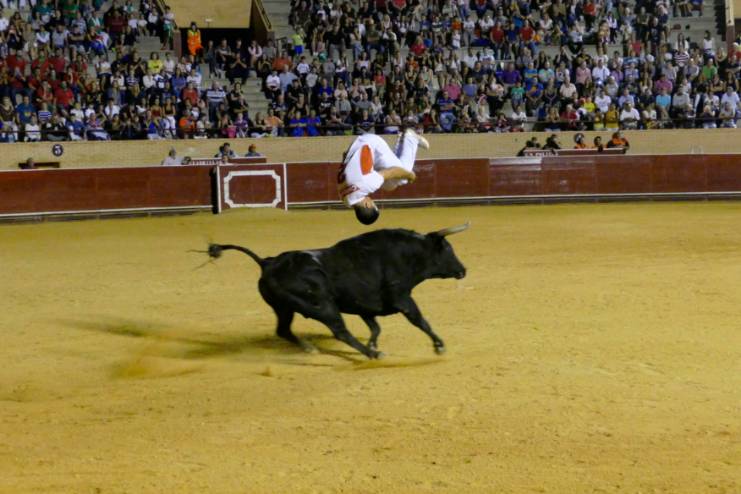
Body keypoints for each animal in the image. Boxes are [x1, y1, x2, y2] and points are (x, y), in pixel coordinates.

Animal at [207, 223, 469, 359]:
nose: (463, 270)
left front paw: (373, 343)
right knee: (340, 331)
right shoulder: (402, 299)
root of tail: (267, 263)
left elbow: (375, 327)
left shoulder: (366, 305)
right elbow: (420, 321)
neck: (406, 254)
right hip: (322, 306)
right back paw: (372, 355)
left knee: (283, 330)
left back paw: (310, 347)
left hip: (284, 308)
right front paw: (439, 345)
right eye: (448, 249)